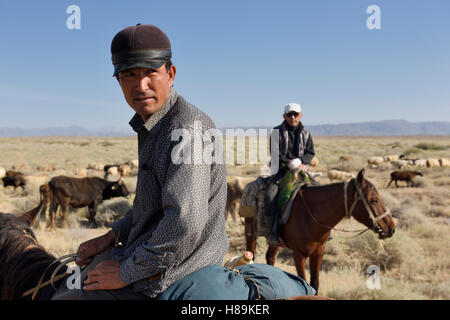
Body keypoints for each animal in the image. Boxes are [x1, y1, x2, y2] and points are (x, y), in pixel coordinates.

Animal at [244, 169, 396, 294]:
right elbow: (303, 281)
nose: (391, 228)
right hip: (250, 232)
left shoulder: (318, 252)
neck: (310, 215)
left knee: (270, 257)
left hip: (275, 241)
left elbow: (315, 284)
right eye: (374, 200)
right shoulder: (299, 254)